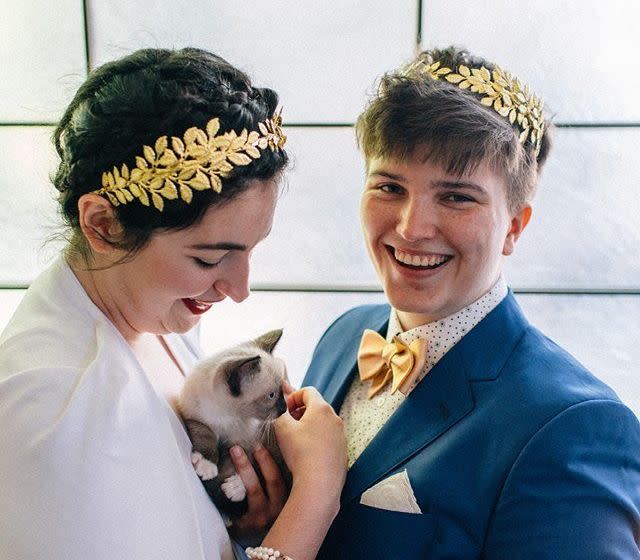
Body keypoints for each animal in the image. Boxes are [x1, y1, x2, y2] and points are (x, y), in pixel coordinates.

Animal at [180, 328, 290, 516]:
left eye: (281, 391)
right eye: (271, 395)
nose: (284, 408)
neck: (230, 417)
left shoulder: (248, 443)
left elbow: (252, 467)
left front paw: (235, 488)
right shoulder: (195, 418)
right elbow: (205, 434)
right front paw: (207, 465)